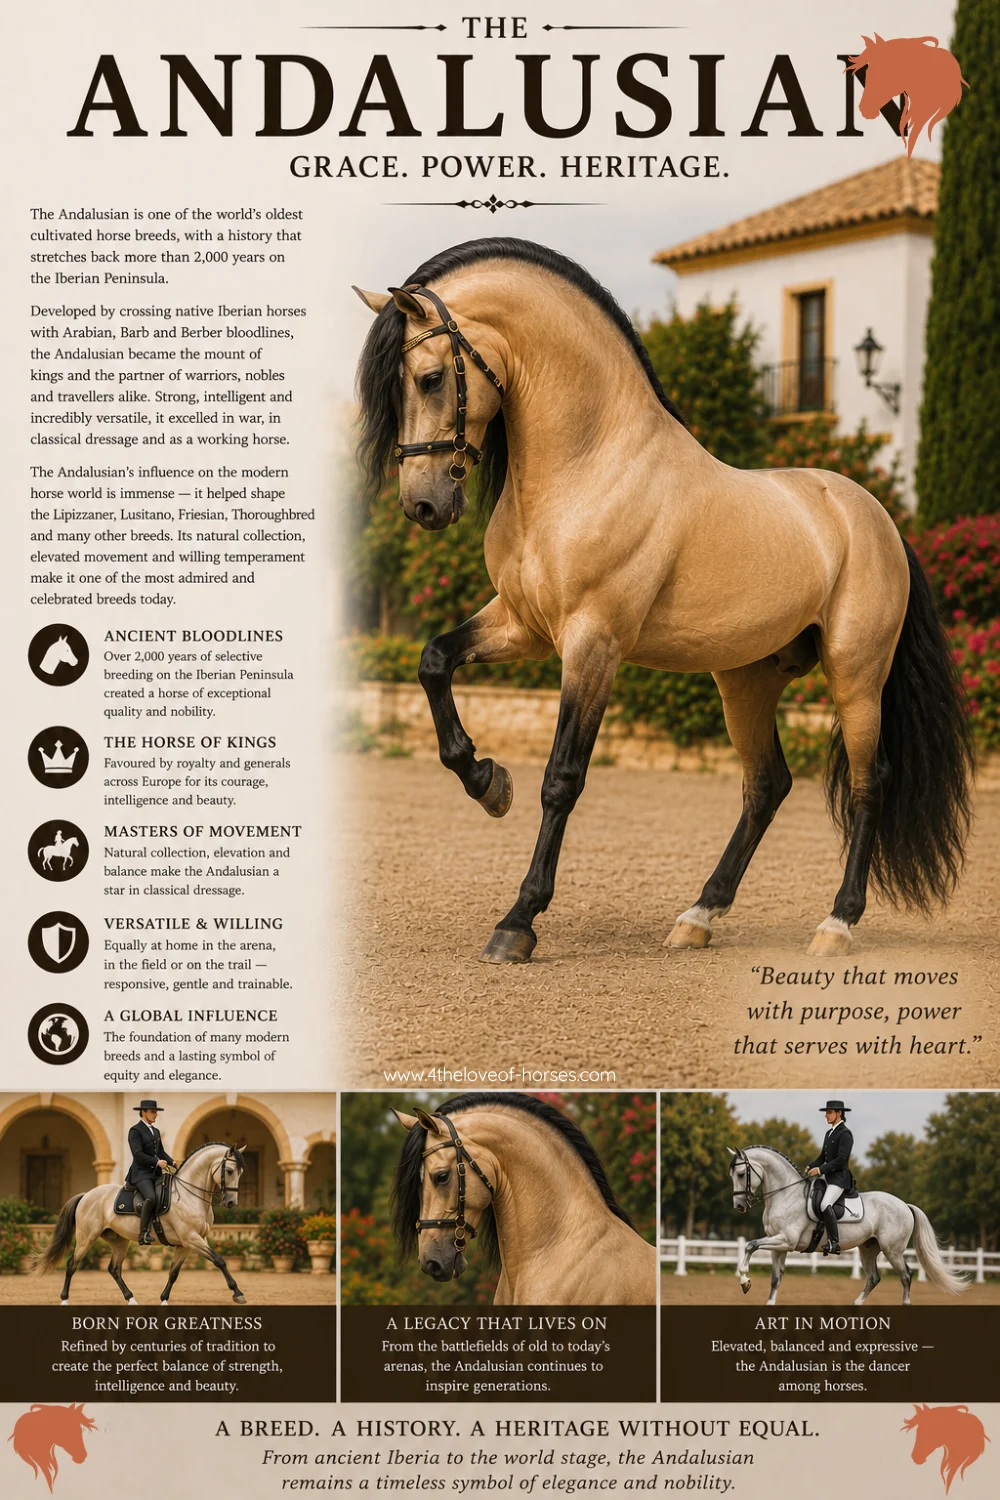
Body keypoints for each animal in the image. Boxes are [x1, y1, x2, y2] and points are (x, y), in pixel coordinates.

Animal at [34, 1142, 248, 1305]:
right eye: (230, 1171)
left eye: (241, 1172)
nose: (231, 1202)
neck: (189, 1195)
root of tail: (87, 1195)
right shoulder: (192, 1239)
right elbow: (219, 1260)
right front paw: (238, 1293)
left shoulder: (186, 1244)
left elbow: (174, 1273)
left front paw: (163, 1299)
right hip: (87, 1238)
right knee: (72, 1264)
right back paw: (64, 1299)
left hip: (119, 1241)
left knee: (114, 1269)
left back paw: (131, 1299)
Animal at [354, 239, 972, 964]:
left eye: (427, 378)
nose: (422, 505)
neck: (589, 464)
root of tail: (877, 517)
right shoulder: (523, 627)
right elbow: (433, 662)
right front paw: (489, 784)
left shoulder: (593, 645)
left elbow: (563, 777)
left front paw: (518, 922)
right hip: (745, 681)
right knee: (767, 786)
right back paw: (698, 915)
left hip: (856, 676)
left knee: (869, 783)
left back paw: (836, 924)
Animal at [728, 1145, 967, 1306]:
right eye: (731, 1175)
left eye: (740, 1174)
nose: (739, 1206)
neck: (785, 1195)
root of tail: (904, 1205)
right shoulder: (778, 1246)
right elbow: (775, 1279)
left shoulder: (785, 1240)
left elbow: (750, 1245)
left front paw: (744, 1280)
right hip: (868, 1249)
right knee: (873, 1278)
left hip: (893, 1250)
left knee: (906, 1276)